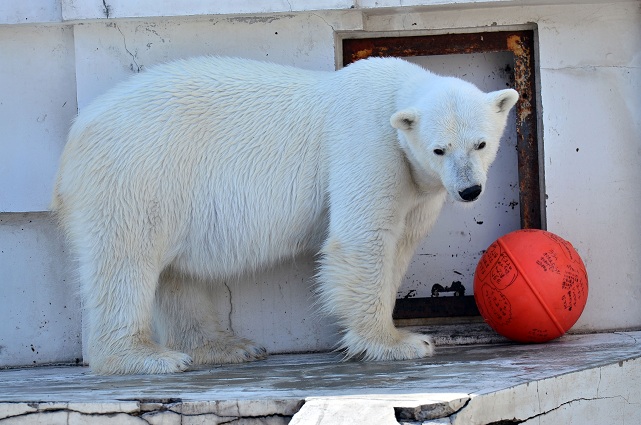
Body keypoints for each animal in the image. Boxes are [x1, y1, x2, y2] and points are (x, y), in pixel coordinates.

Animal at [52, 56, 516, 374]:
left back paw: (227, 347)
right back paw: (147, 356)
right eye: (439, 149)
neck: (392, 95)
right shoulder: (369, 143)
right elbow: (362, 237)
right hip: (137, 170)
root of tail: (74, 138)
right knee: (126, 258)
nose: (469, 190)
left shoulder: (417, 186)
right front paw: (400, 342)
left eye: (480, 143)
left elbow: (401, 241)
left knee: (175, 273)